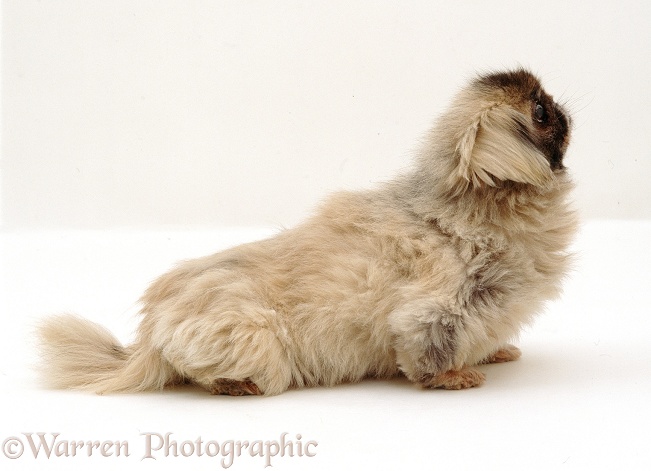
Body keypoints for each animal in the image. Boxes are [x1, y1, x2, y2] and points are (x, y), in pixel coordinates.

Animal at [37, 68, 576, 396]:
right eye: (541, 113)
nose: (562, 107)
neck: (477, 208)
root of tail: (148, 337)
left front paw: (496, 352)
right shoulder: (432, 312)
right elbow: (430, 352)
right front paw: (455, 376)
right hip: (259, 343)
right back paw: (235, 386)